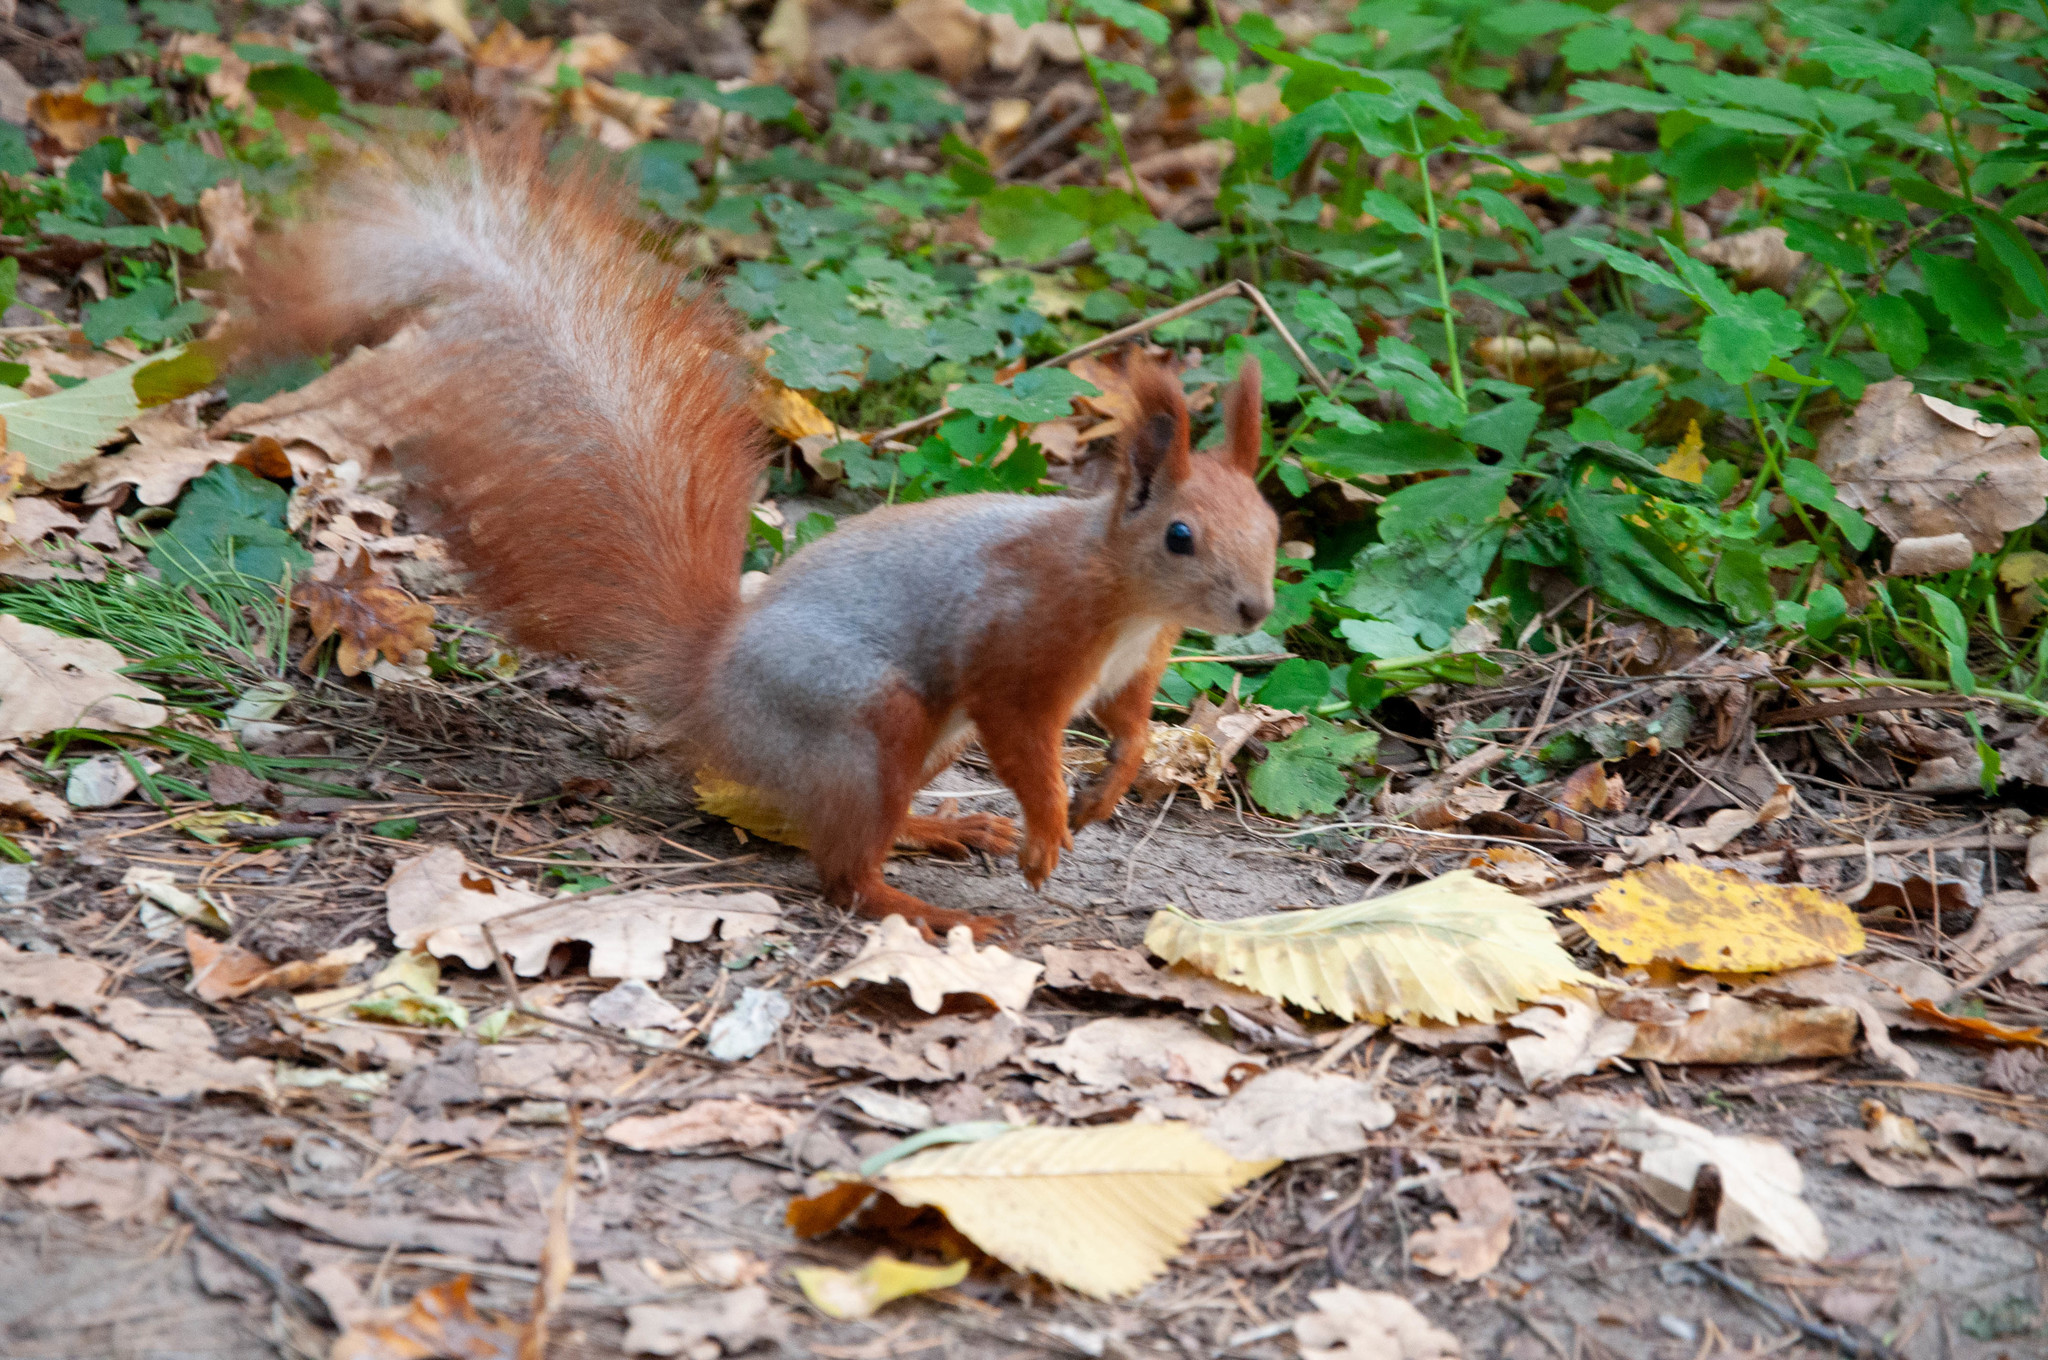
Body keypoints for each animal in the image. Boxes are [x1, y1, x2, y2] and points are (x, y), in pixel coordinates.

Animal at [239, 135, 1277, 933]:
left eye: (1273, 525)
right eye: (1180, 536)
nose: (1255, 608)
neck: (1121, 594)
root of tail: (710, 684)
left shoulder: (1132, 669)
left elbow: (1132, 731)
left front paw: (1106, 789)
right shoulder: (1020, 646)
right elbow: (1024, 744)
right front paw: (1049, 830)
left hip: (913, 743)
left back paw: (942, 832)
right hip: (863, 714)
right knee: (844, 874)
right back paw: (929, 909)